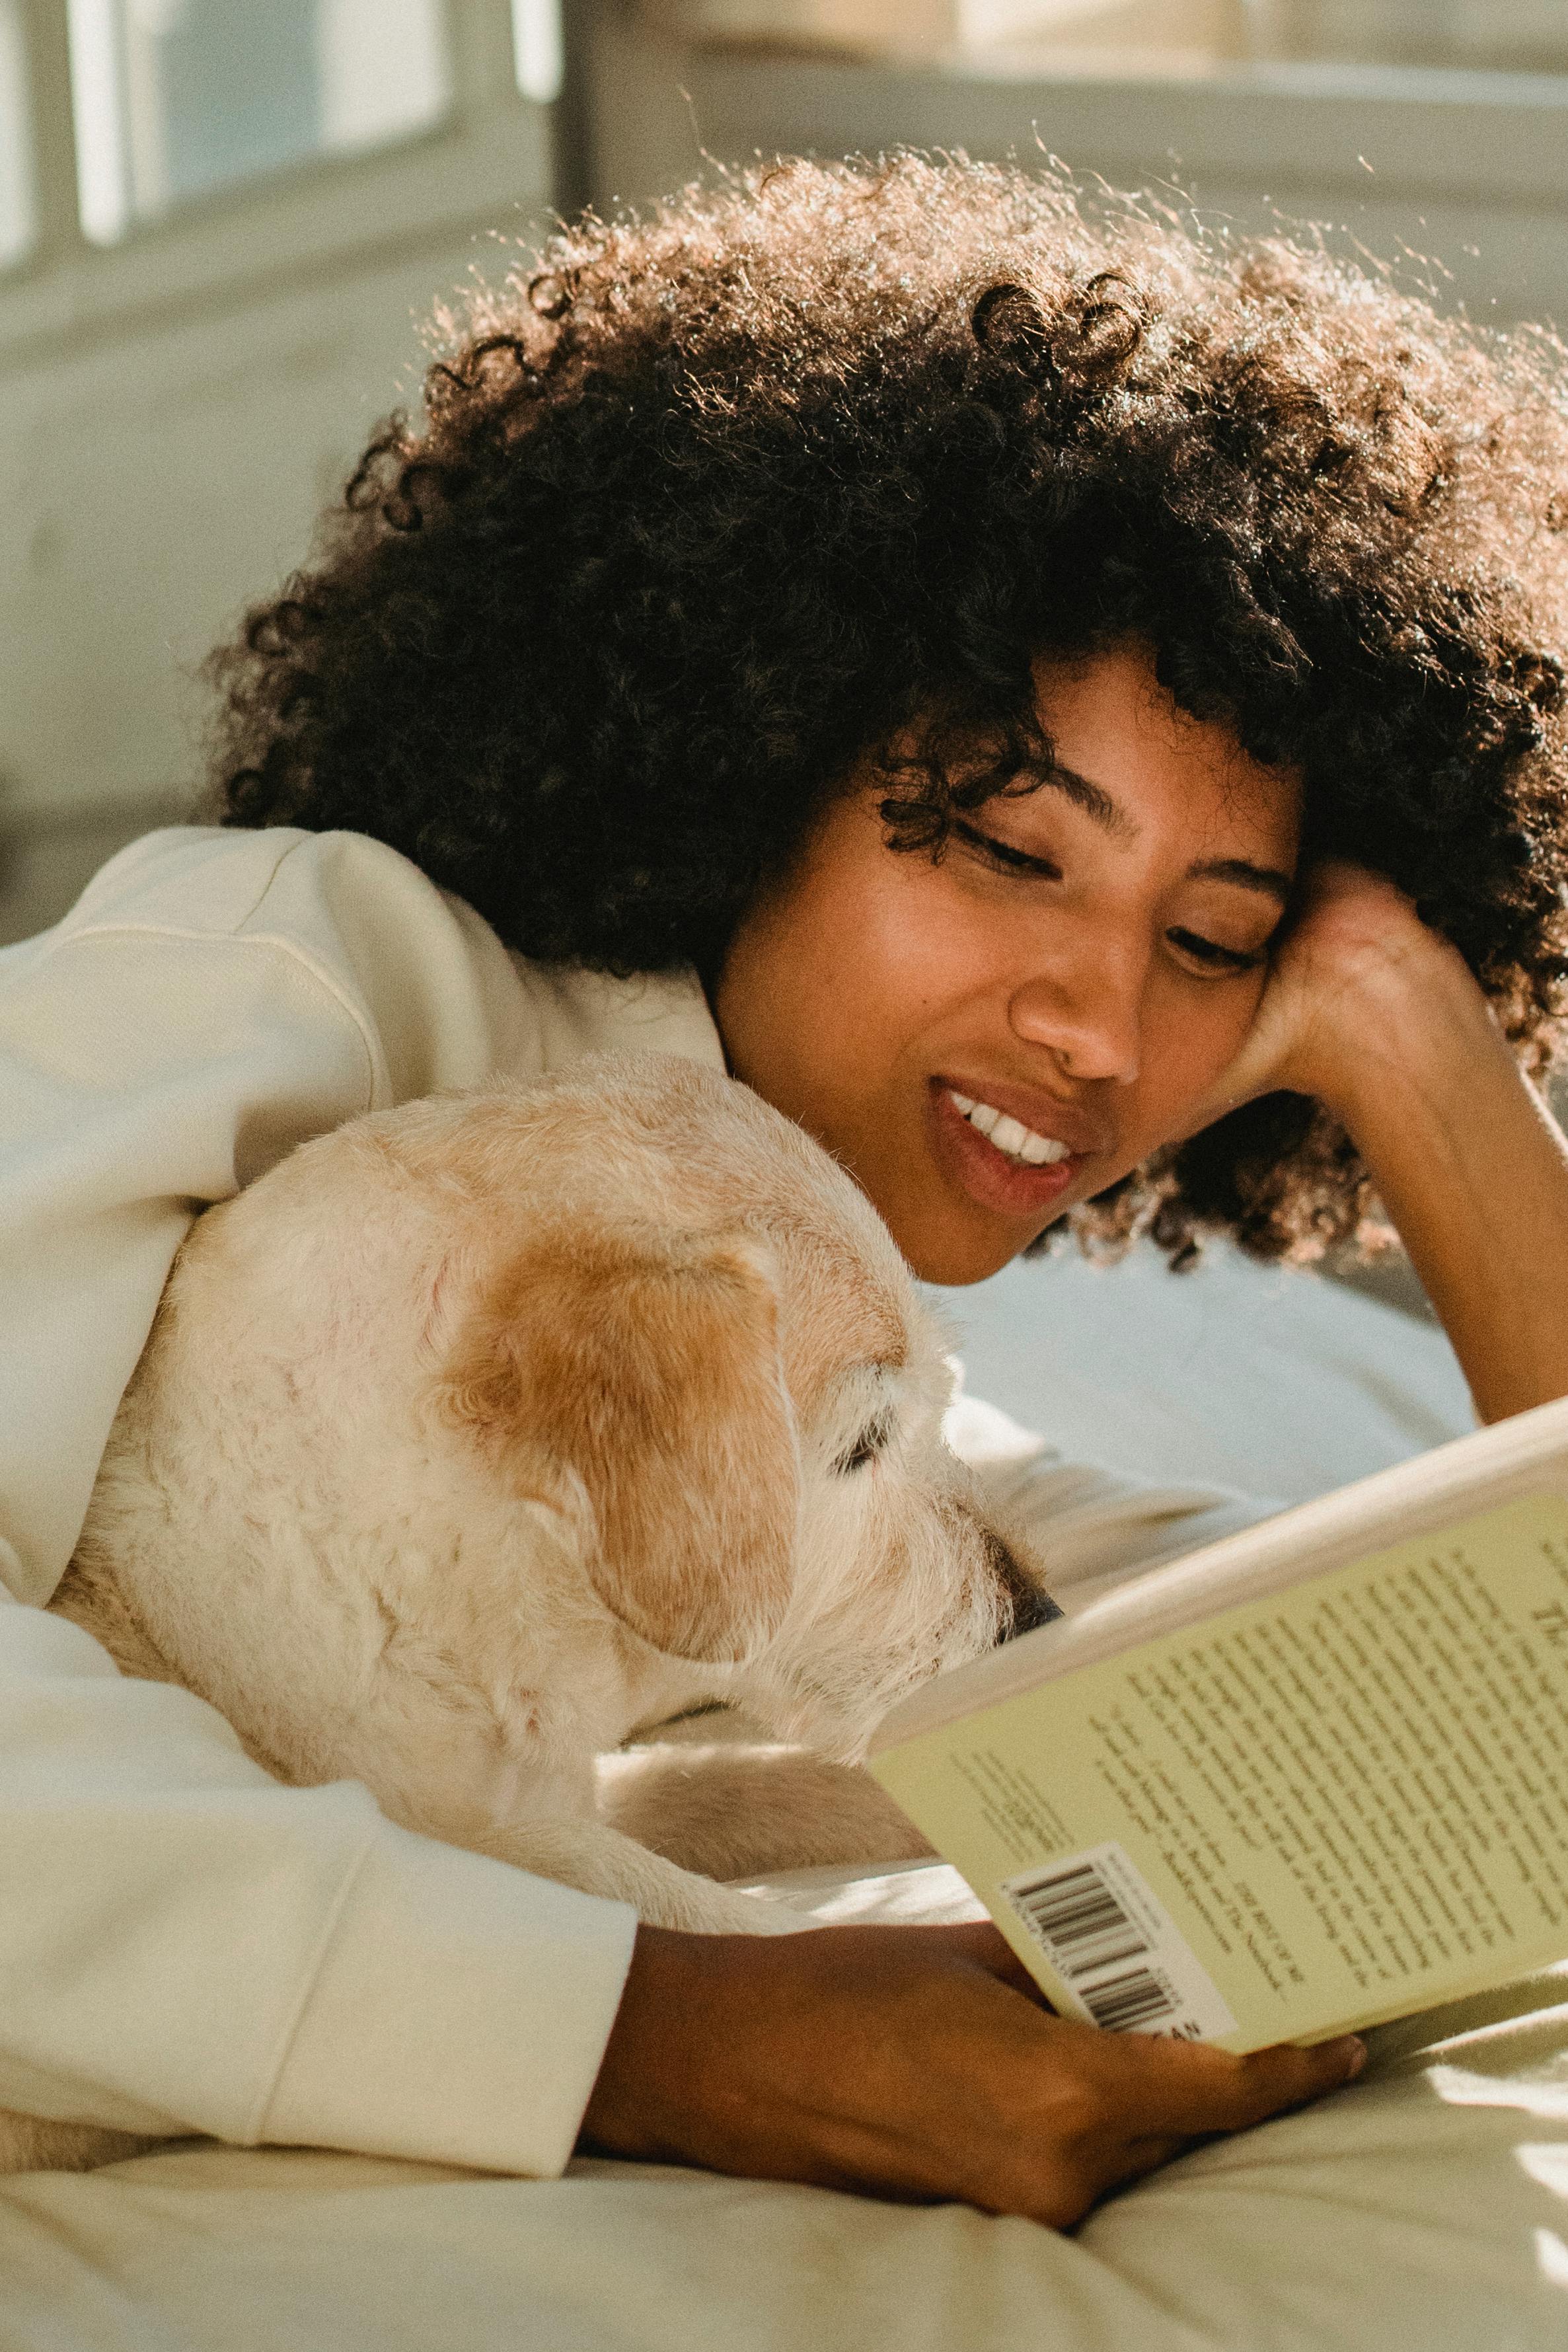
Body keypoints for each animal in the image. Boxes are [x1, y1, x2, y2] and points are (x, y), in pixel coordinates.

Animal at [15, 1058, 1053, 2173]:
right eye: (865, 1442)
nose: (1040, 1615)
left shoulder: (574, 1779)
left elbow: (735, 1778)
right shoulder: (488, 1830)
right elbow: (640, 1883)